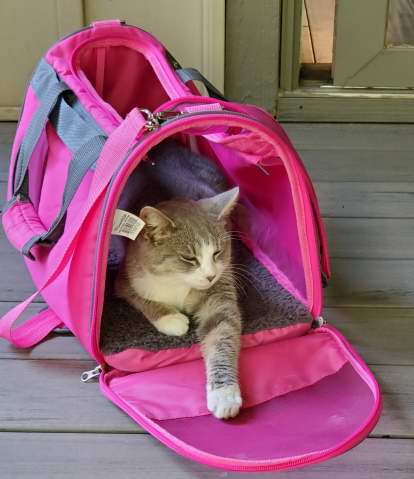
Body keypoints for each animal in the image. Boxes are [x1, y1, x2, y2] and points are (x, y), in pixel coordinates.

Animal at [114, 188, 243, 420]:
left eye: (217, 252)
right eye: (189, 258)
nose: (210, 276)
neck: (178, 281)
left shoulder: (219, 289)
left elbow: (221, 329)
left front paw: (224, 394)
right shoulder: (125, 279)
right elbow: (141, 298)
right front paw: (171, 318)